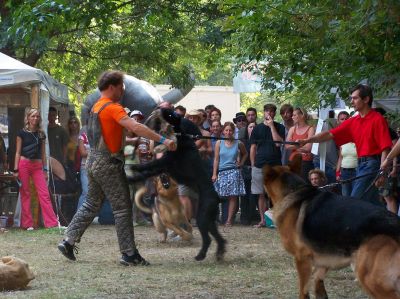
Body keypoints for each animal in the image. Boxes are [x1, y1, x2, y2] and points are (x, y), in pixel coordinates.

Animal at [130, 109, 227, 262]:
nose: (160, 109)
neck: (182, 138)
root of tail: (217, 198)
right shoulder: (163, 167)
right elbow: (146, 172)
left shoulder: (165, 162)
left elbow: (148, 165)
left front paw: (134, 168)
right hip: (209, 220)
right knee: (218, 238)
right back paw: (219, 253)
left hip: (202, 218)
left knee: (208, 239)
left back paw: (201, 255)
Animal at [264, 156, 400, 298]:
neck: (293, 191)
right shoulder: (324, 262)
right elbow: (318, 283)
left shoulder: (302, 259)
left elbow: (303, 291)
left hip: (371, 279)